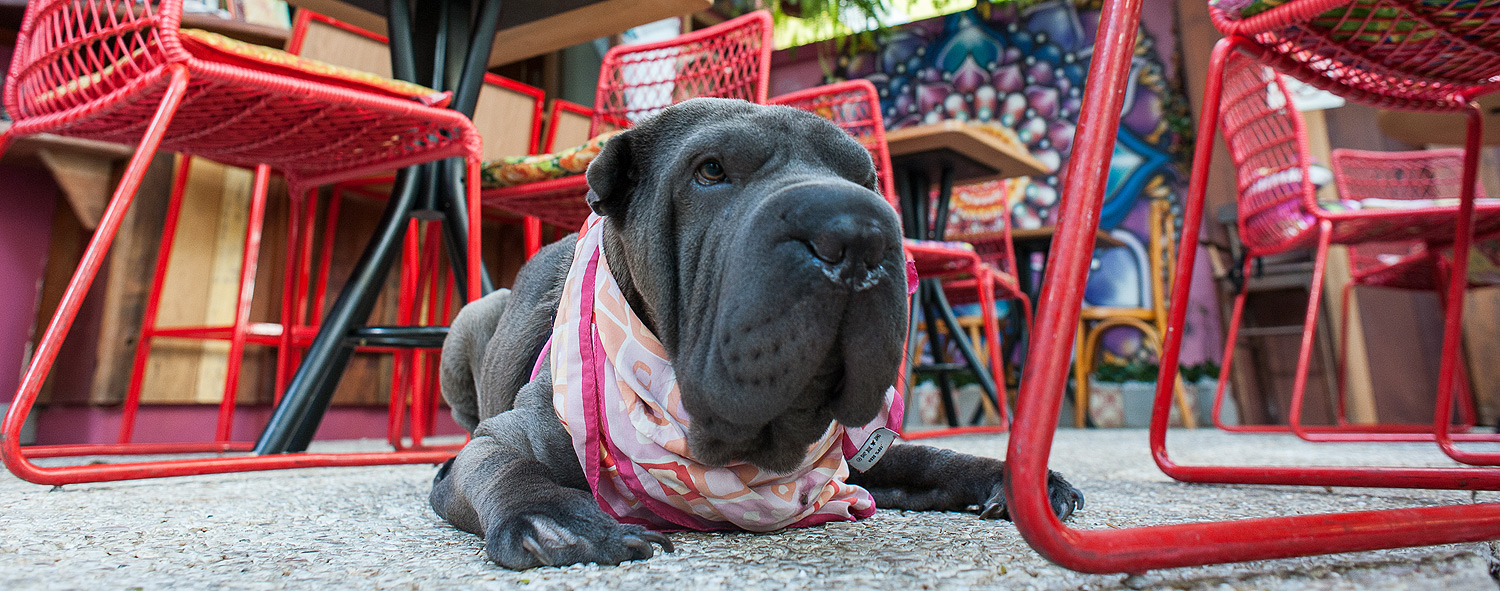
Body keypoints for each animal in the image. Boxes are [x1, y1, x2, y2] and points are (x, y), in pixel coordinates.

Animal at [429, 96, 1086, 567]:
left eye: (867, 180)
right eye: (710, 170)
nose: (857, 233)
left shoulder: (859, 461)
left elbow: (930, 459)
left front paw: (1009, 480)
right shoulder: (500, 443)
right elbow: (506, 467)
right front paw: (560, 522)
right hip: (470, 320)